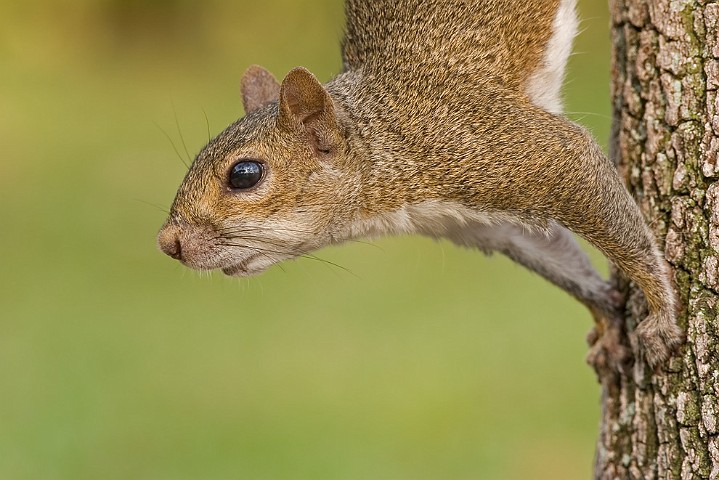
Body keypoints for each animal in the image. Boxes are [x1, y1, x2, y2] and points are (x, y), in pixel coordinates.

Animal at [159, 0, 688, 370]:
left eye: (244, 174)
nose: (168, 243)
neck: (388, 141)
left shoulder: (516, 153)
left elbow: (598, 196)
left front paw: (661, 312)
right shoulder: (482, 224)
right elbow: (556, 258)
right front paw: (606, 316)